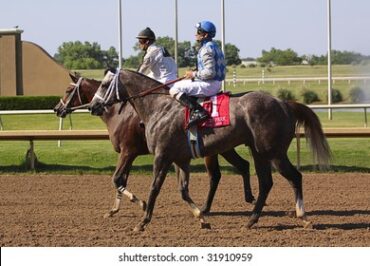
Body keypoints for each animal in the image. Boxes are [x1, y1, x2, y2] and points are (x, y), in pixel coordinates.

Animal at [53, 72, 256, 218]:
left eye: (68, 89)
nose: (57, 109)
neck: (118, 113)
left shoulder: (127, 151)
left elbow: (117, 178)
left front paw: (141, 203)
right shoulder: (130, 154)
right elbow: (122, 180)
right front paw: (114, 209)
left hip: (215, 149)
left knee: (217, 174)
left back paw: (215, 205)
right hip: (224, 147)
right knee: (241, 166)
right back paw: (239, 200)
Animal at [89, 70, 330, 231]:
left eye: (104, 85)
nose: (93, 106)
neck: (159, 107)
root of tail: (284, 103)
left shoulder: (161, 156)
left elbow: (154, 189)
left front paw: (142, 221)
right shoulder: (180, 159)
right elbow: (183, 191)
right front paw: (202, 218)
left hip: (273, 152)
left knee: (294, 177)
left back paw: (303, 216)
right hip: (259, 152)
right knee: (265, 183)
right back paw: (251, 220)